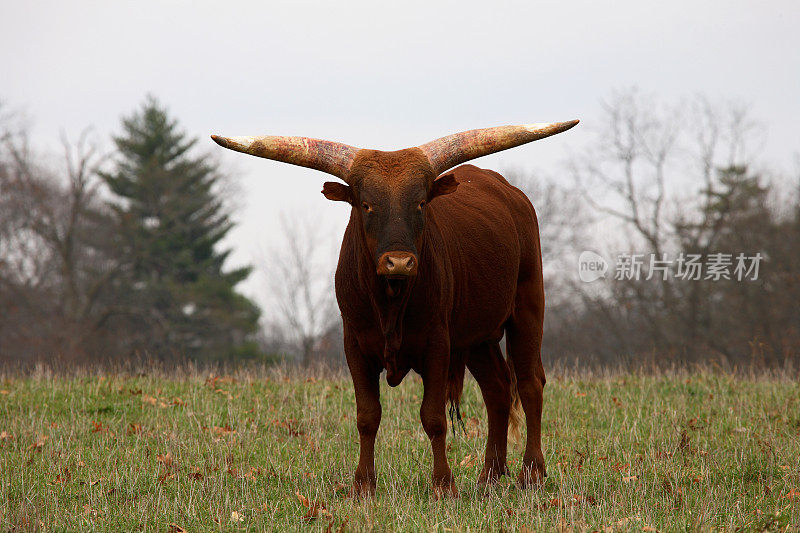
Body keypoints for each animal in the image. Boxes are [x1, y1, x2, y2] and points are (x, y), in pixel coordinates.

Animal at [211, 120, 576, 494]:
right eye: (366, 205)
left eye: (420, 203)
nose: (398, 262)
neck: (391, 301)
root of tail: (511, 193)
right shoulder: (355, 345)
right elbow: (367, 416)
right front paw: (363, 486)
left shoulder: (437, 345)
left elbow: (433, 417)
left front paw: (443, 485)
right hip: (477, 336)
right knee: (498, 389)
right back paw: (489, 475)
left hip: (528, 306)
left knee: (530, 383)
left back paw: (531, 473)